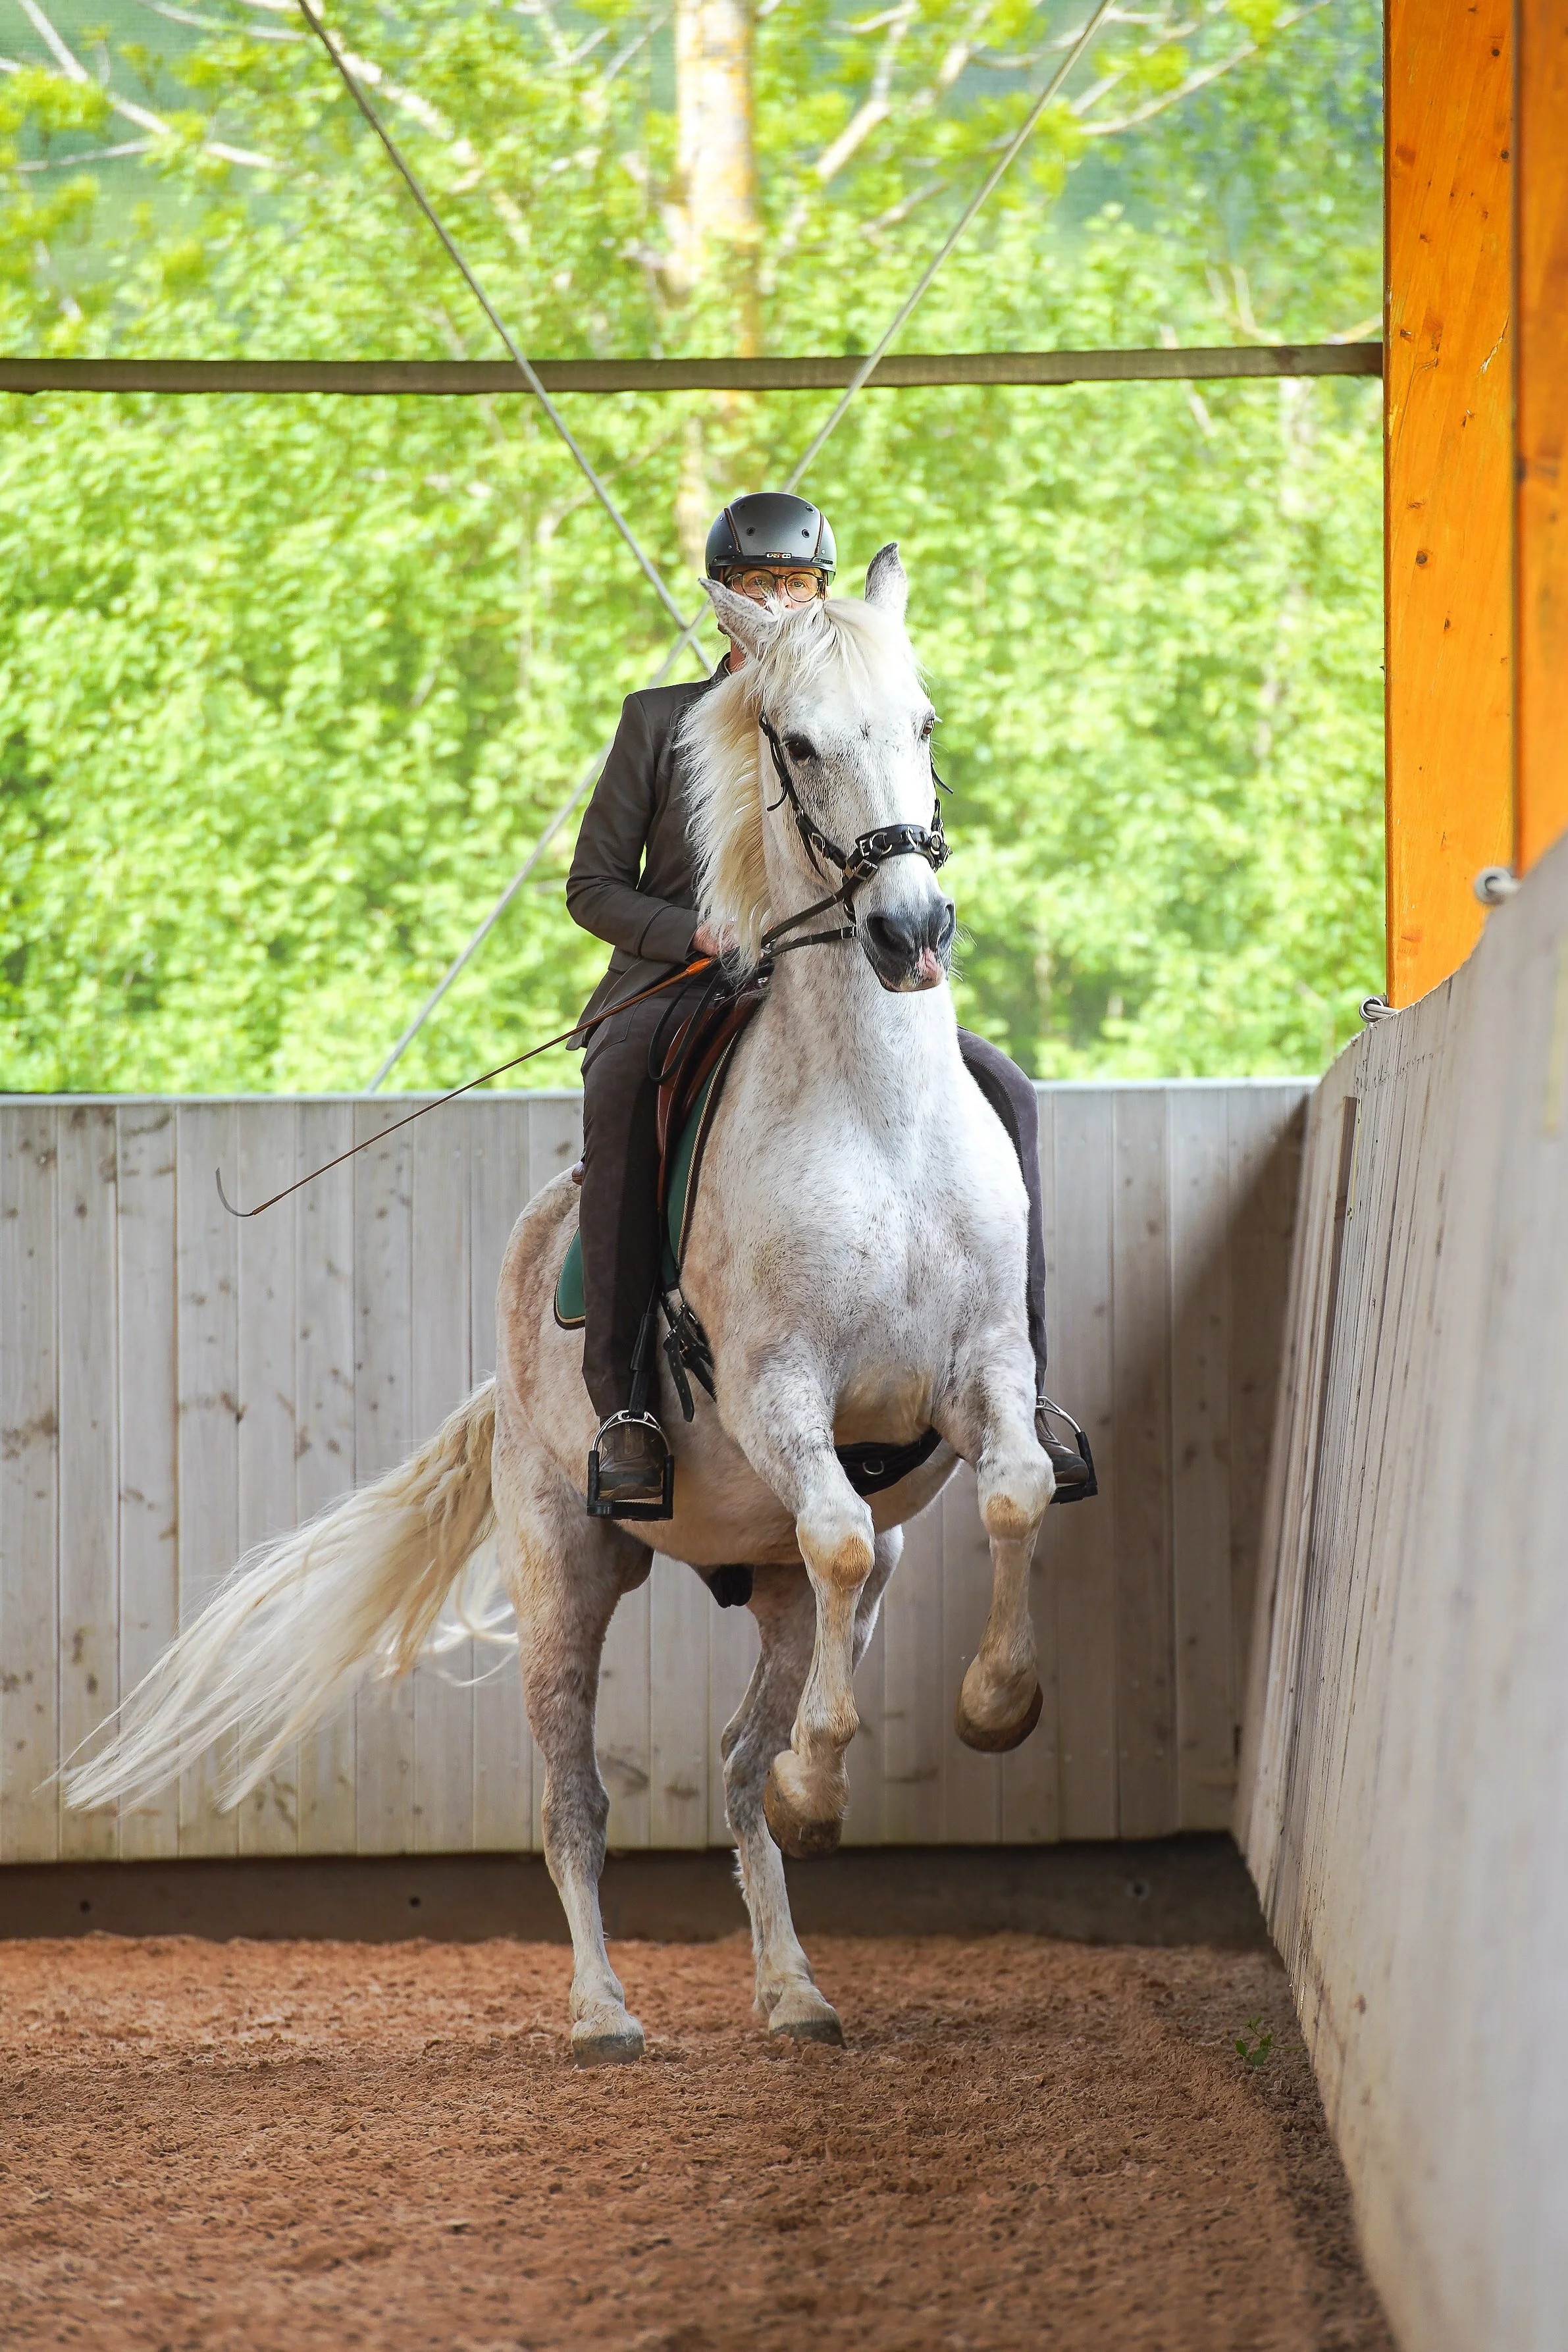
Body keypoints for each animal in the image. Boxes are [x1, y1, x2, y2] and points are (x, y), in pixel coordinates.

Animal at [67, 545, 1056, 2064]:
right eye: (797, 744)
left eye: (924, 722)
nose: (909, 931)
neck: (875, 1115)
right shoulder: (778, 1392)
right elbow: (837, 1531)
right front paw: (831, 1781)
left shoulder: (986, 1369)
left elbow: (1012, 1493)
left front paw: (996, 1705)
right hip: (566, 1565)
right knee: (575, 1793)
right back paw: (604, 2008)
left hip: (764, 1579)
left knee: (738, 1759)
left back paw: (794, 1986)